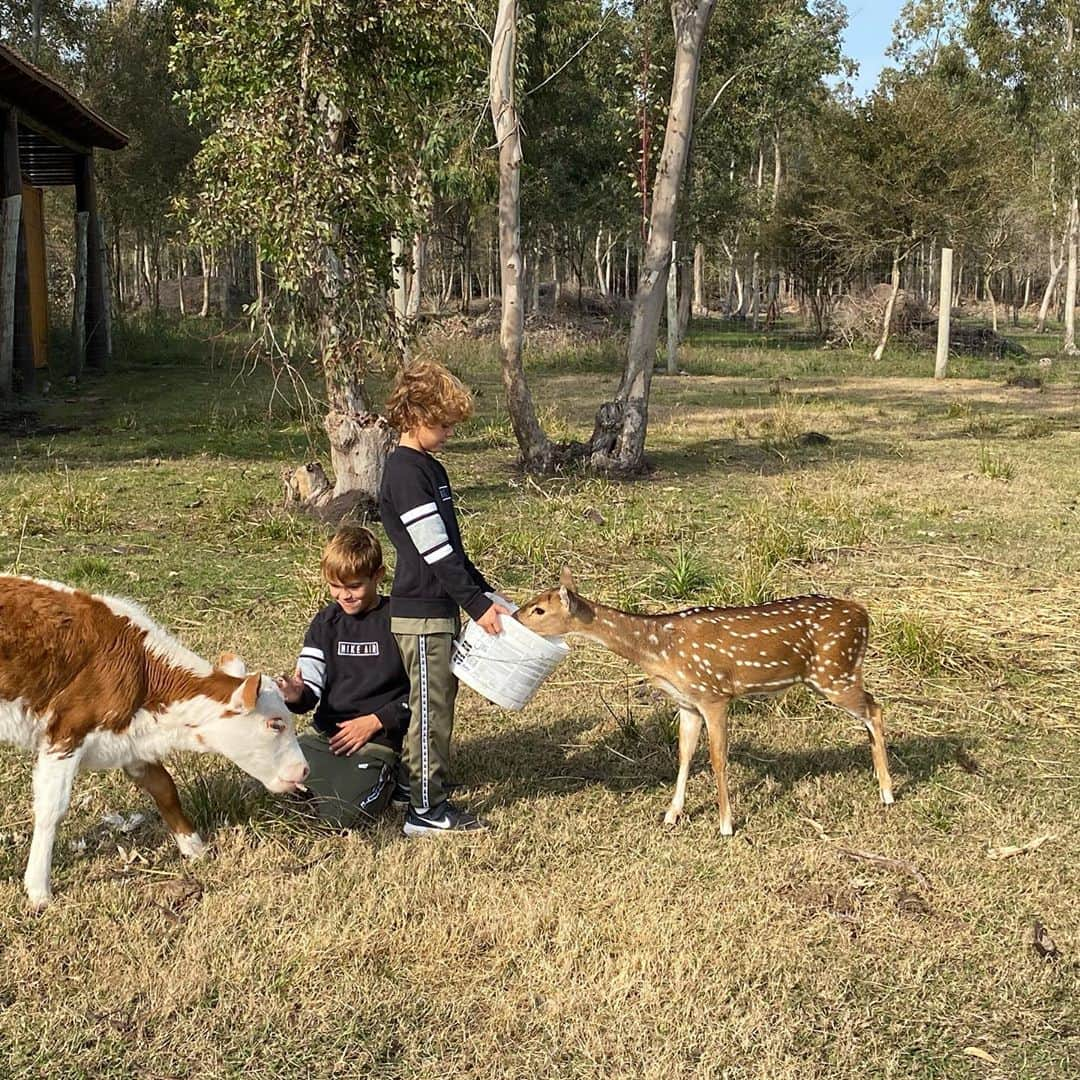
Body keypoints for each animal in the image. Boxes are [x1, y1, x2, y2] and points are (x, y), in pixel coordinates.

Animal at [0, 578, 308, 907]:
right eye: (276, 723)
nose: (304, 770)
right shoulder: (66, 734)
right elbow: (51, 809)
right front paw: (38, 890)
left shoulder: (130, 743)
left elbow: (164, 788)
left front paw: (195, 847)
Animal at [514, 570, 894, 829]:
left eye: (538, 610)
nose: (514, 616)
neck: (659, 652)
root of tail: (864, 614)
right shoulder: (687, 702)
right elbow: (684, 753)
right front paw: (671, 814)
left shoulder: (714, 694)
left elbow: (717, 758)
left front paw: (726, 824)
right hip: (833, 675)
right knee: (871, 709)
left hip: (835, 672)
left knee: (875, 709)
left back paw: (888, 793)